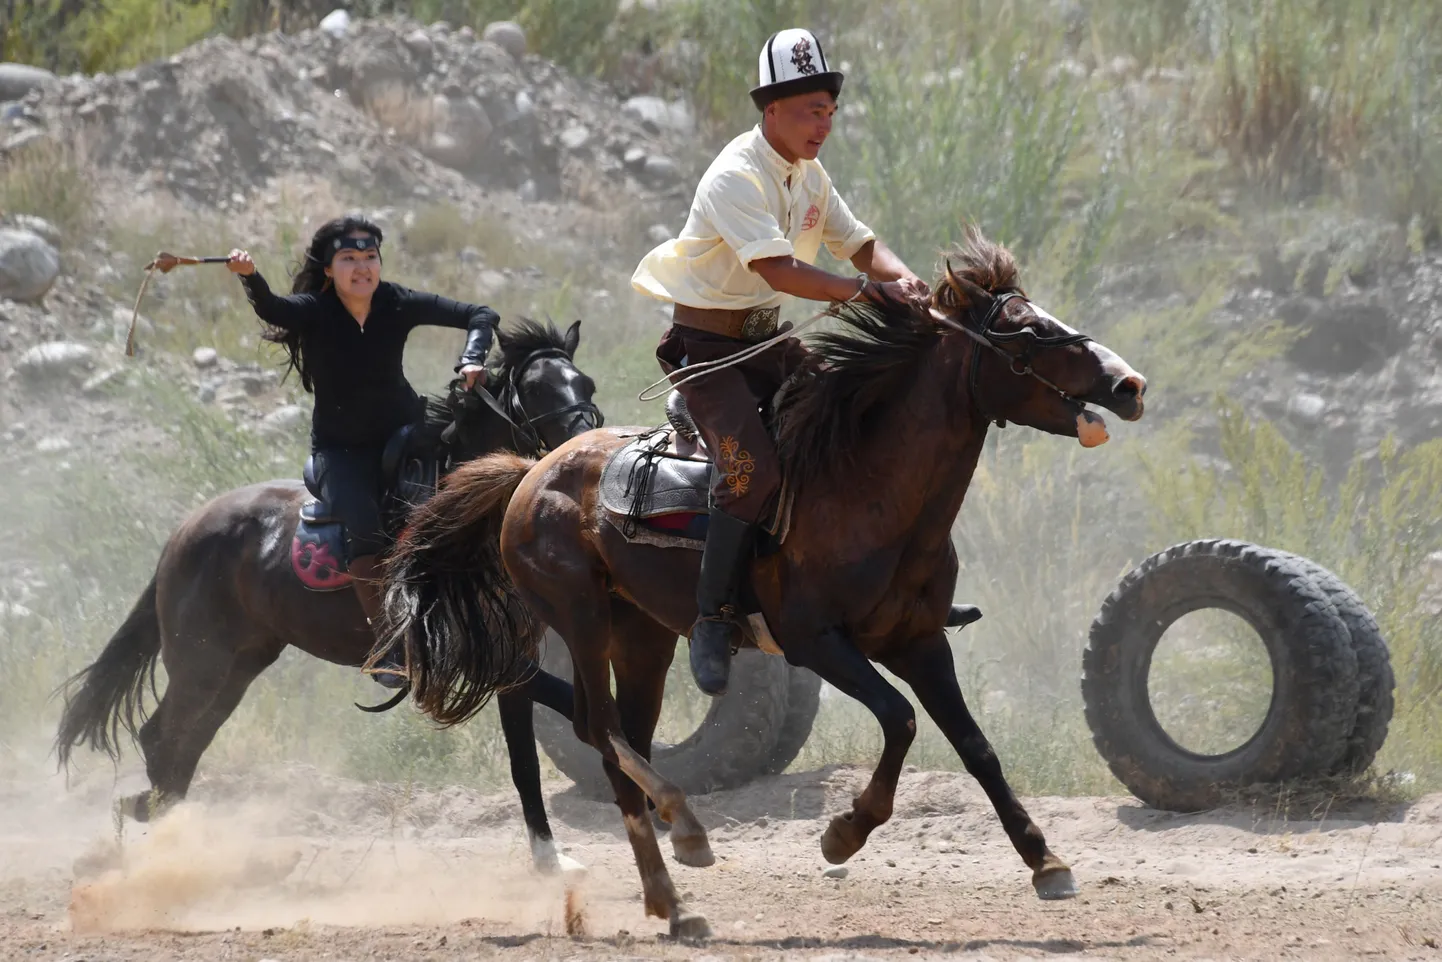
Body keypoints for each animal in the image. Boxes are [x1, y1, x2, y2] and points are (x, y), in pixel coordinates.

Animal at [383, 229, 1147, 934]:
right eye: (1030, 330)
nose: (1129, 385)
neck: (865, 486)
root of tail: (528, 472)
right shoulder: (816, 642)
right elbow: (900, 720)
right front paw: (844, 833)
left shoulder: (922, 642)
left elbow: (976, 746)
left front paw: (1046, 861)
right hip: (580, 618)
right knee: (596, 727)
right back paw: (685, 835)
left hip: (643, 636)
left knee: (621, 743)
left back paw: (670, 898)